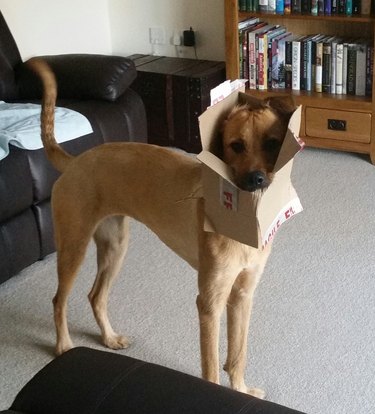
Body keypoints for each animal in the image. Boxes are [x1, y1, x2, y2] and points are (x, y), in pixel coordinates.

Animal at [29, 57, 296, 398]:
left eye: (273, 143)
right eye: (235, 146)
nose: (256, 180)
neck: (241, 223)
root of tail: (76, 160)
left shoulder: (242, 295)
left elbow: (238, 355)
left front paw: (240, 389)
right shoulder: (209, 303)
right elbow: (211, 367)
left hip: (115, 245)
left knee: (96, 296)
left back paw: (109, 339)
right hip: (73, 246)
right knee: (59, 300)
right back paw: (64, 346)